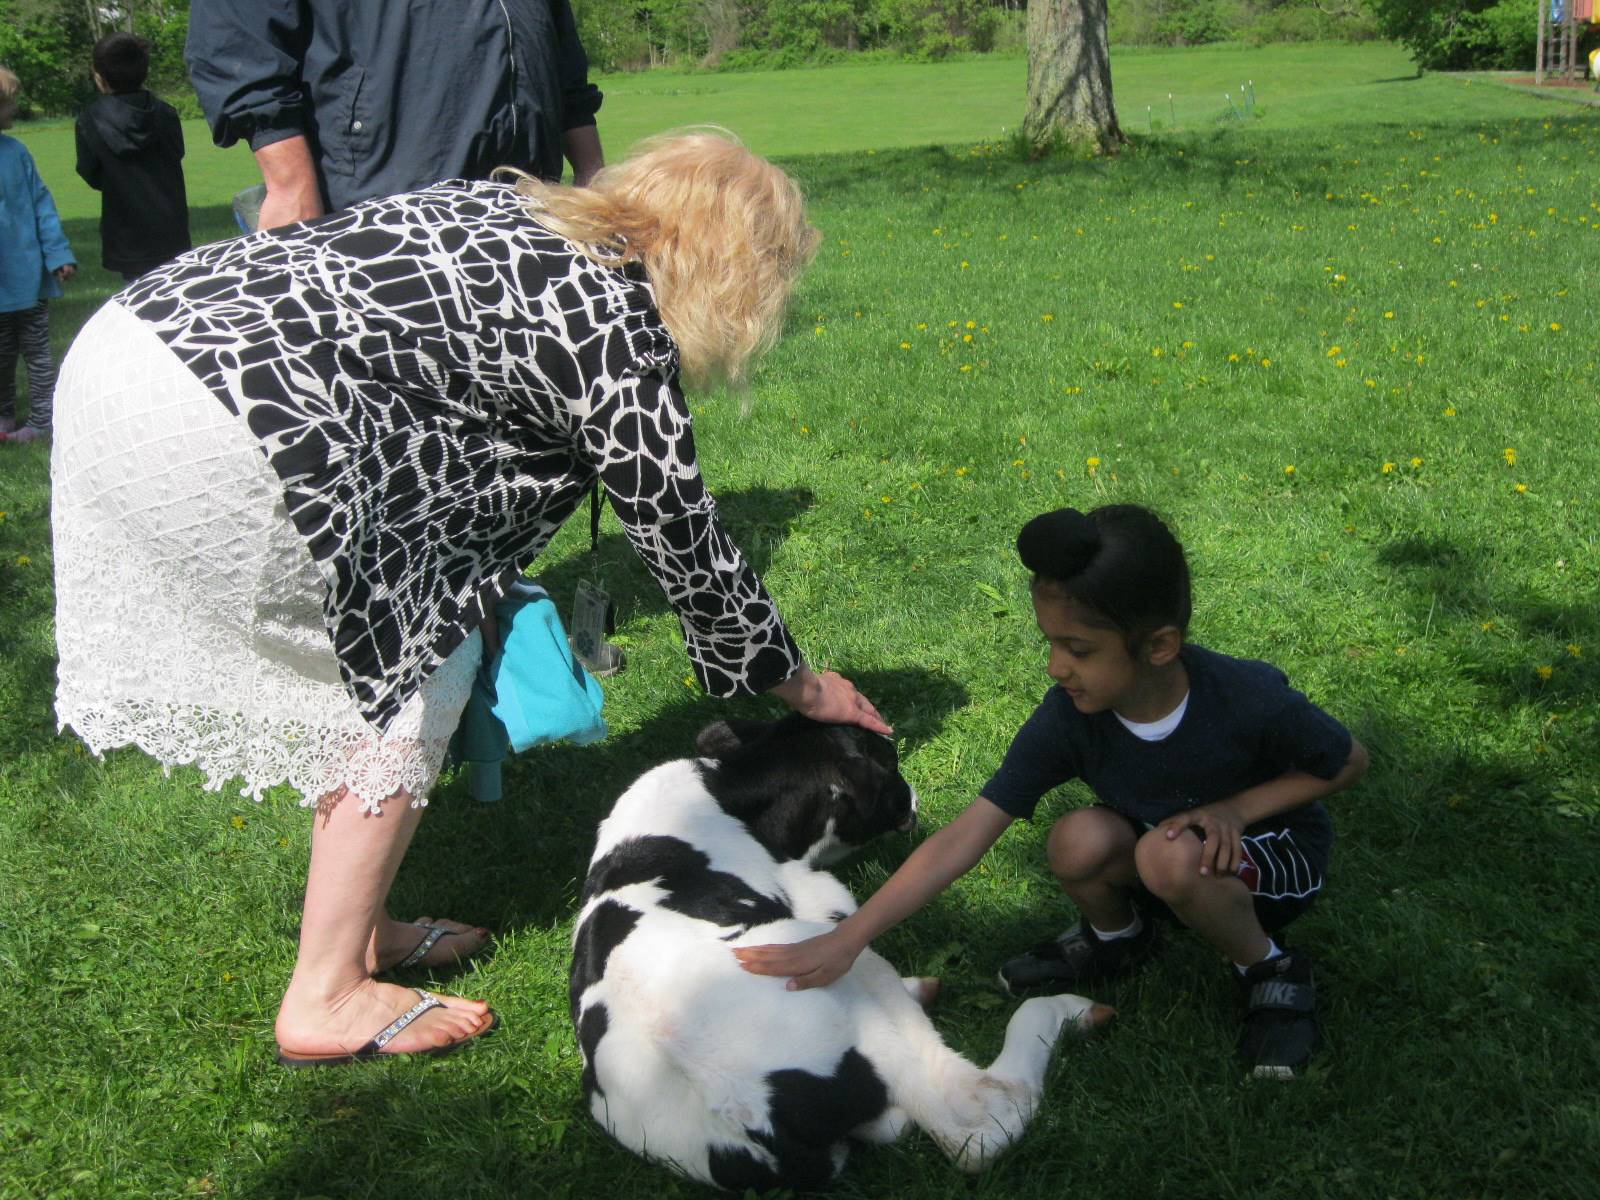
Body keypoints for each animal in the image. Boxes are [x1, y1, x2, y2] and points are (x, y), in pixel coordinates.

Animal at [572, 720, 1113, 1190]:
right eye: (888, 758)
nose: (913, 798)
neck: (729, 792)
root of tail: (740, 1114)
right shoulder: (827, 904)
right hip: (834, 965)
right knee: (974, 1124)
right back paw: (1069, 1011)